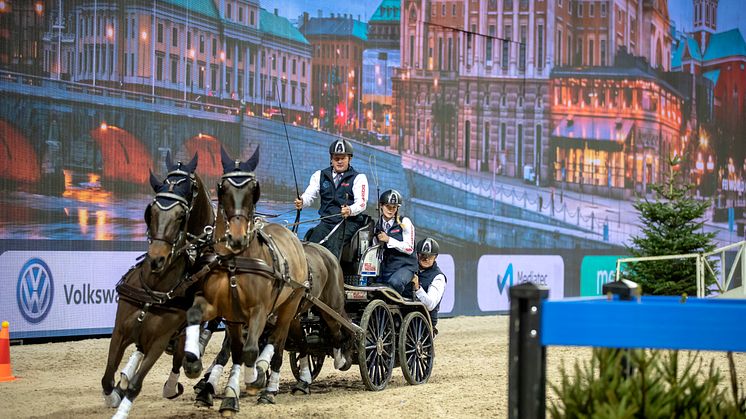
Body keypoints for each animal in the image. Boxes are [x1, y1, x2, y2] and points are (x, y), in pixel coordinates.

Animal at [100, 154, 214, 419]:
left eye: (181, 216)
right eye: (150, 212)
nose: (156, 259)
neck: (152, 291)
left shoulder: (160, 342)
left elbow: (136, 385)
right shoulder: (119, 332)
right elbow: (107, 377)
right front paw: (114, 395)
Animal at [185, 146, 312, 416]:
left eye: (255, 189)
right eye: (222, 188)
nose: (236, 237)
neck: (236, 262)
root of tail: (291, 233)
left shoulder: (260, 310)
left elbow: (251, 350)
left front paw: (254, 379)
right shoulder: (221, 309)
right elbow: (226, 344)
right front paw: (197, 369)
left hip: (289, 307)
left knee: (278, 341)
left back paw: (270, 385)